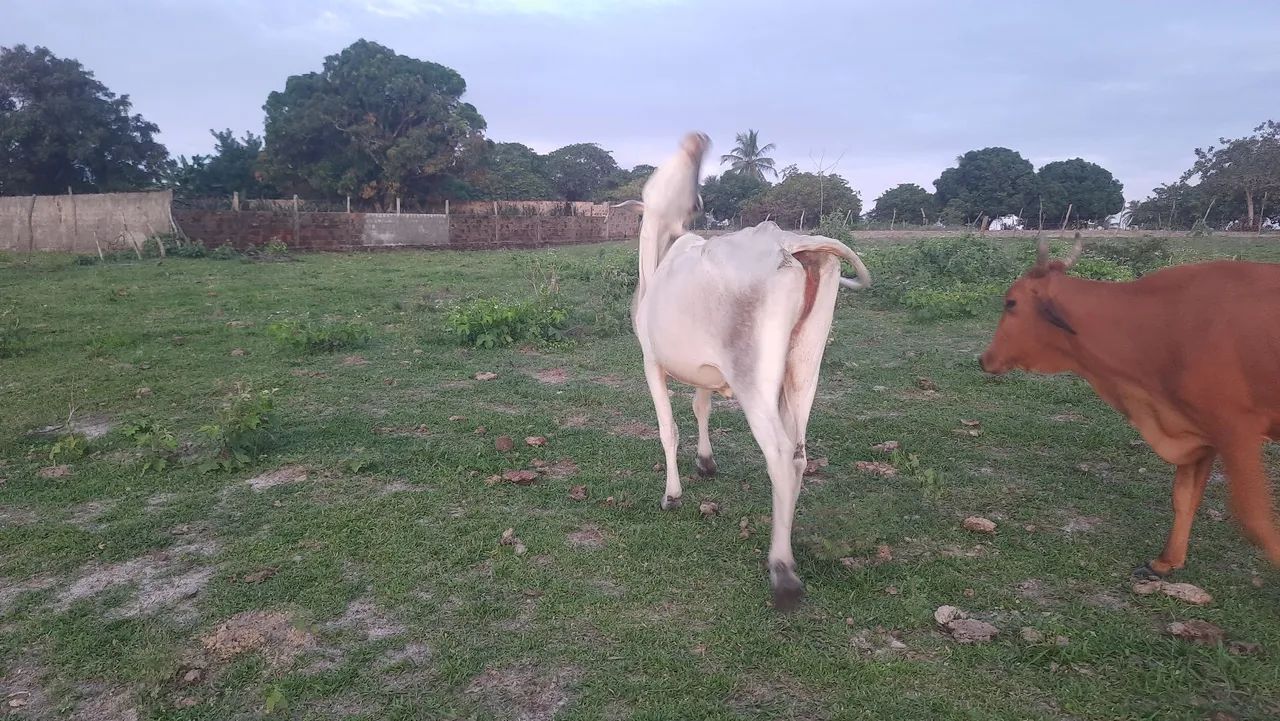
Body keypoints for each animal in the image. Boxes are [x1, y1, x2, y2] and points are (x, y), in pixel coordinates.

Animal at [618, 133, 872, 610]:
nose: (695, 141)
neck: (657, 259)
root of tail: (792, 245)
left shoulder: (650, 361)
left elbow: (668, 429)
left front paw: (672, 496)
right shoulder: (705, 371)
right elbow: (700, 409)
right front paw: (706, 462)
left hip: (754, 376)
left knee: (779, 452)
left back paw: (782, 570)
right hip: (803, 367)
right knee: (799, 452)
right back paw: (787, 538)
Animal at [980, 235, 1280, 578]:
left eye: (1011, 302)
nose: (984, 359)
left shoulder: (1235, 429)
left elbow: (1255, 520)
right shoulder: (1198, 430)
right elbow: (1184, 498)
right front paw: (1166, 561)